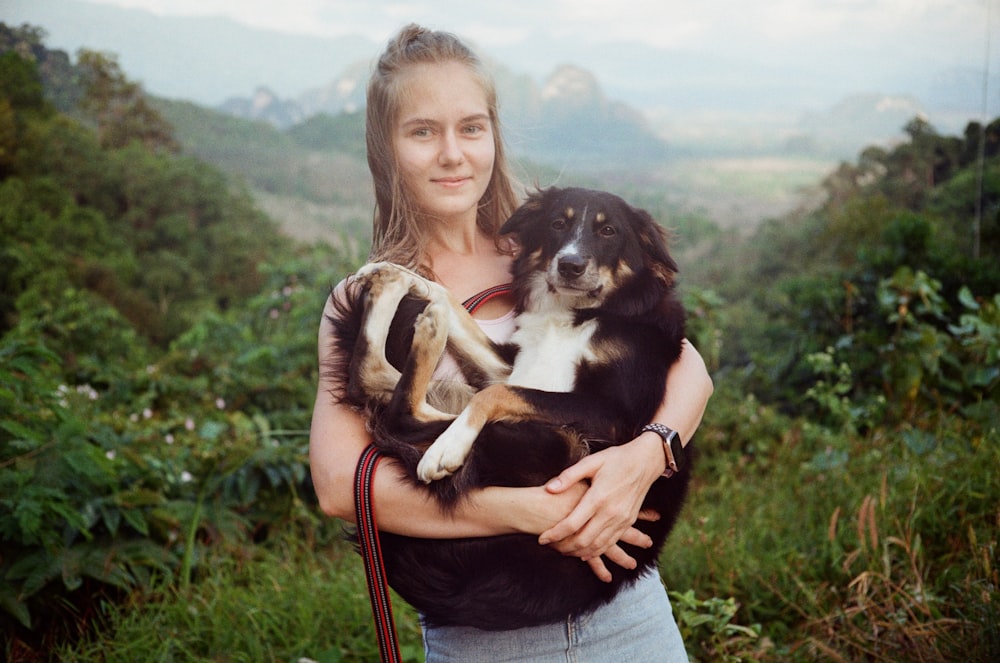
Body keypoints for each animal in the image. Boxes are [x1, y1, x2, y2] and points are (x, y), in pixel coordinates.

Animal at [324, 188, 692, 632]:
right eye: (558, 224)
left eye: (608, 231)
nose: (570, 265)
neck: (579, 313)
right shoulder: (510, 368)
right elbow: (445, 295)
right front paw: (393, 269)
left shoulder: (613, 416)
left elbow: (494, 396)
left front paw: (449, 448)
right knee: (375, 380)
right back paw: (393, 294)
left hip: (558, 444)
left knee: (399, 411)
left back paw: (429, 350)